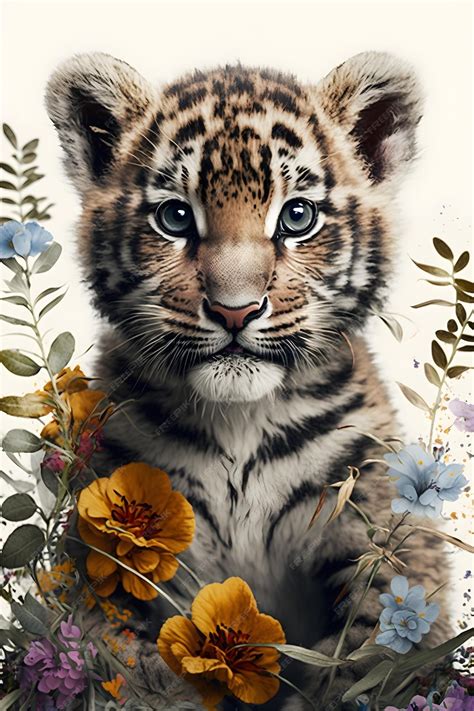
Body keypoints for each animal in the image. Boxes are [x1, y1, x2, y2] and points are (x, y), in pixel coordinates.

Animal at [45, 51, 449, 709]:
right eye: (176, 217)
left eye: (297, 216)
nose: (234, 311)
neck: (241, 420)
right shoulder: (109, 552)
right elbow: (123, 667)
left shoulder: (380, 525)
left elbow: (375, 648)